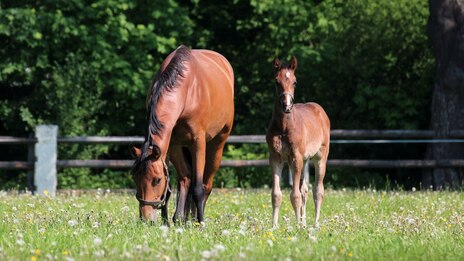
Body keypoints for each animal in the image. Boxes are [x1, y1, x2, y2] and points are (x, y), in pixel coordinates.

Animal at [130, 44, 234, 223]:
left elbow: (198, 187)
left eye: (156, 180)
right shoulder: (171, 145)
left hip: (217, 144)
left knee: (206, 184)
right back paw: (181, 218)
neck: (186, 92)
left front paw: (201, 222)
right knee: (186, 177)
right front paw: (167, 221)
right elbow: (174, 185)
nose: (146, 218)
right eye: (135, 178)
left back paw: (195, 218)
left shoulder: (197, 143)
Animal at [264, 56, 330, 225]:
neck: (284, 127)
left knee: (318, 190)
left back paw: (315, 224)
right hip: (305, 160)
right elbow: (276, 195)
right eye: (276, 81)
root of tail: (319, 109)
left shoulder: (296, 158)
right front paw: (274, 226)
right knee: (305, 189)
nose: (286, 105)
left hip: (320, 157)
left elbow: (295, 195)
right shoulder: (275, 158)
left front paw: (296, 227)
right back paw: (304, 222)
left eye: (295, 82)